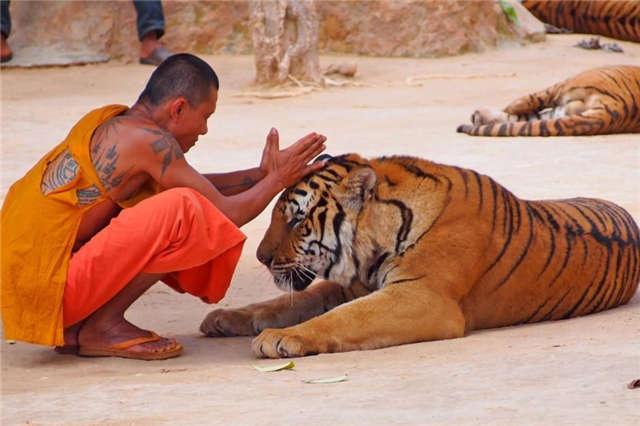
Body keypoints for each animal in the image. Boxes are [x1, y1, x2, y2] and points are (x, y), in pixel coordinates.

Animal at [200, 155, 640, 358]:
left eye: (296, 219)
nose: (261, 256)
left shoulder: (422, 296)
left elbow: (341, 318)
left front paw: (280, 338)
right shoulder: (348, 288)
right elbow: (283, 303)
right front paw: (225, 318)